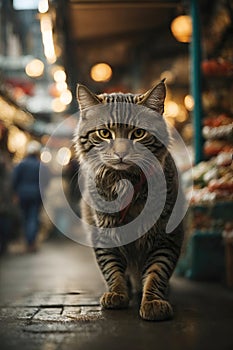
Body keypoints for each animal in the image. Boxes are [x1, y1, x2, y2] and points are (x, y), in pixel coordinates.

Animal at [74, 80, 184, 322]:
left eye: (138, 133)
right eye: (104, 133)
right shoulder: (103, 234)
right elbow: (111, 269)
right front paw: (117, 293)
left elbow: (157, 272)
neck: (126, 182)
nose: (121, 153)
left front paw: (152, 301)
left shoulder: (166, 236)